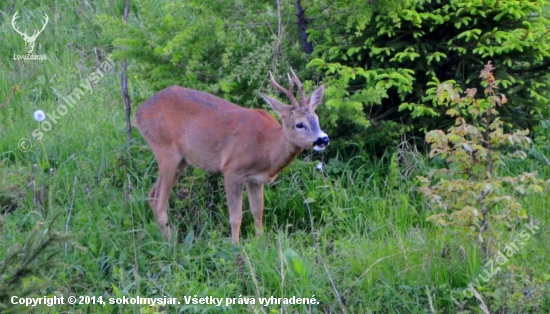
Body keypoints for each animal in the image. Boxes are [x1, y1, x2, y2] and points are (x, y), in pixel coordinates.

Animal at [136, 70, 330, 243]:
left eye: (316, 119)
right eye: (299, 124)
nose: (323, 139)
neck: (266, 147)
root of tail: (139, 113)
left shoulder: (255, 180)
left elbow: (257, 212)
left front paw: (260, 244)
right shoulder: (232, 170)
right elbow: (236, 217)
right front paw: (235, 248)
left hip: (181, 161)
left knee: (152, 195)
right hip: (166, 151)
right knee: (160, 202)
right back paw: (172, 245)